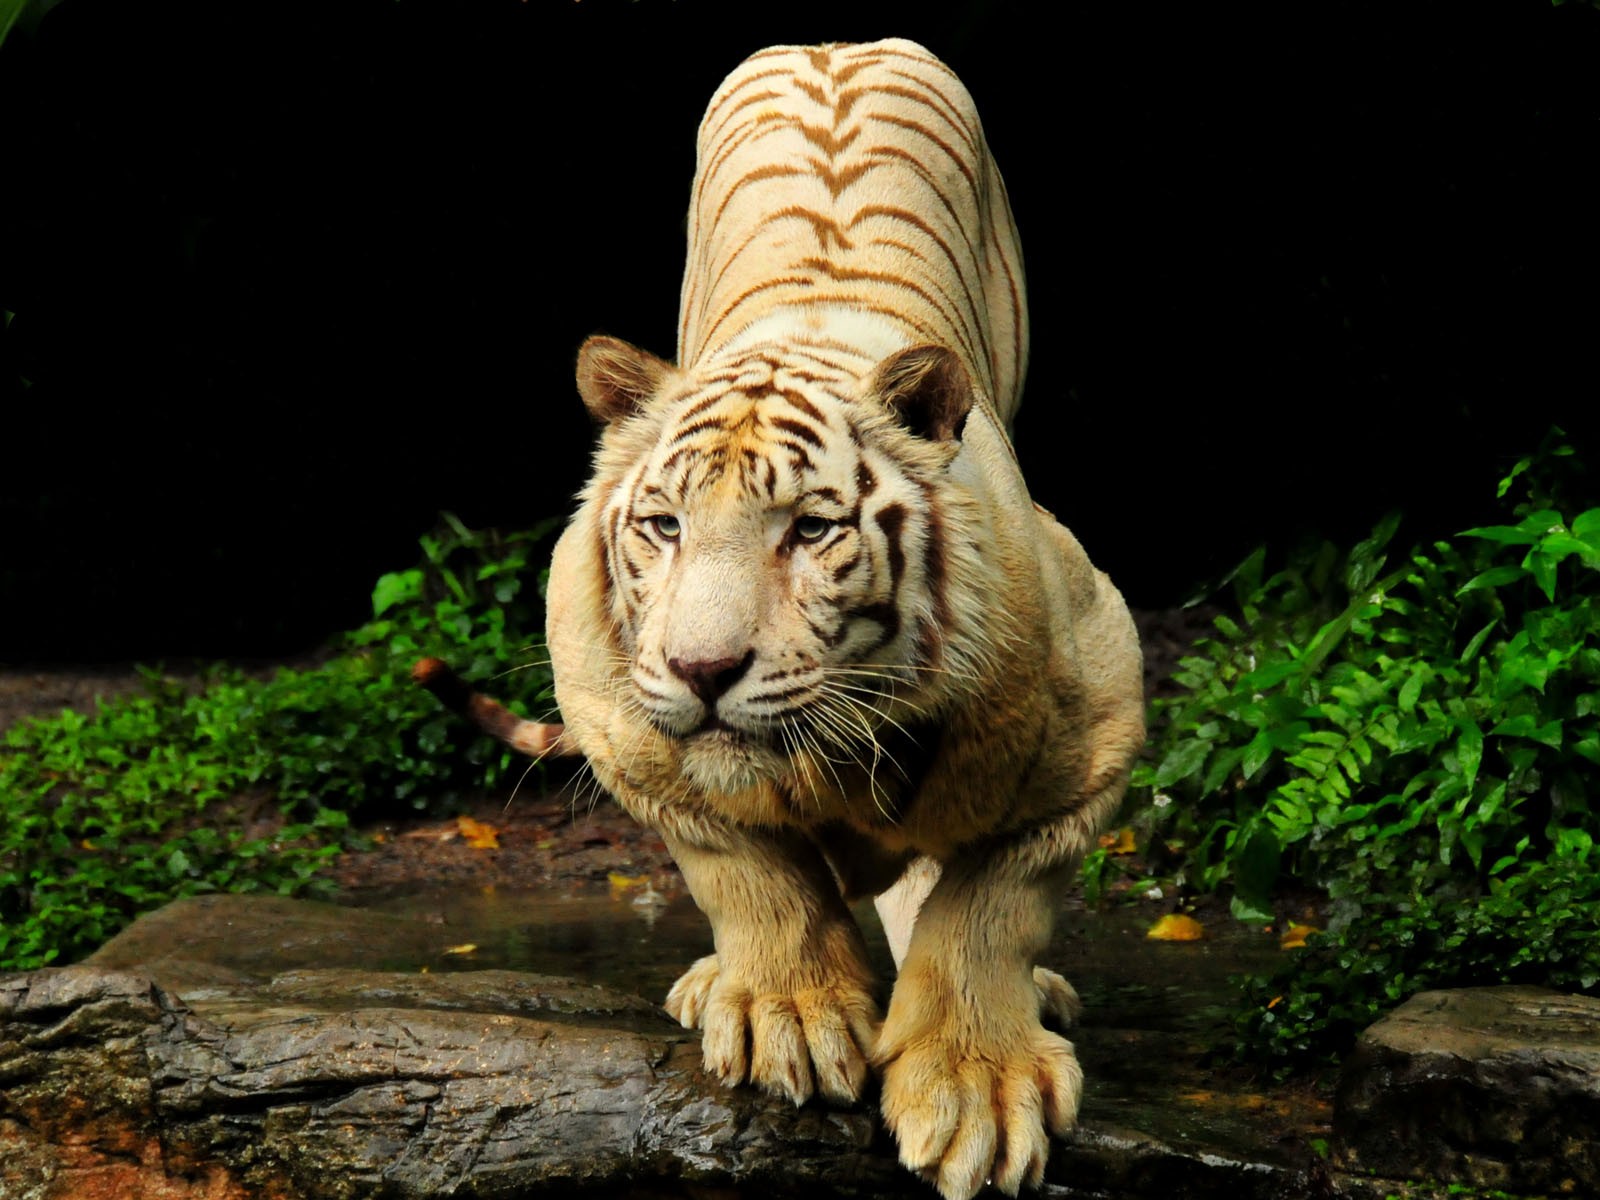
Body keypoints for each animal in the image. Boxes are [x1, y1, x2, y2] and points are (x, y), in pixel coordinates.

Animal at [423, 38, 1145, 1200]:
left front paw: (975, 1087)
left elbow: (990, 906)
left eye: (810, 530)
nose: (702, 668)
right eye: (664, 526)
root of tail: (836, 39)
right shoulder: (622, 720)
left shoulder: (1097, 715)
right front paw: (789, 1017)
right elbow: (746, 869)